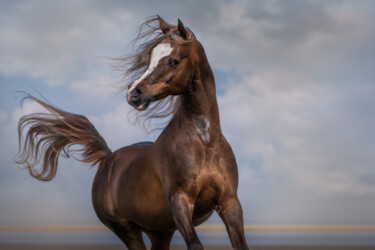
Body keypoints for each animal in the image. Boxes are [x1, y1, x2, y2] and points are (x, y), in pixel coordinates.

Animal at [16, 16, 250, 250]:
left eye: (174, 61)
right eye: (149, 59)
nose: (133, 93)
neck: (205, 142)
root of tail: (108, 158)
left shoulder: (230, 203)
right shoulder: (180, 203)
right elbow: (195, 244)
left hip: (160, 231)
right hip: (127, 229)